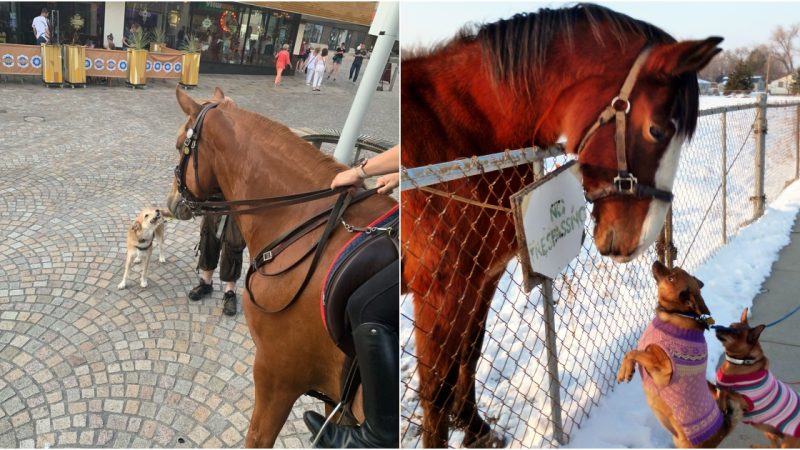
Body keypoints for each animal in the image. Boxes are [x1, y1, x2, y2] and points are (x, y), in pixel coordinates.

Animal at [404, 2, 720, 446]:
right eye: (657, 129)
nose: (639, 241)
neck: (459, 134)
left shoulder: (483, 276)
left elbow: (471, 351)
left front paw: (476, 428)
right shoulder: (441, 287)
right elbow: (436, 387)